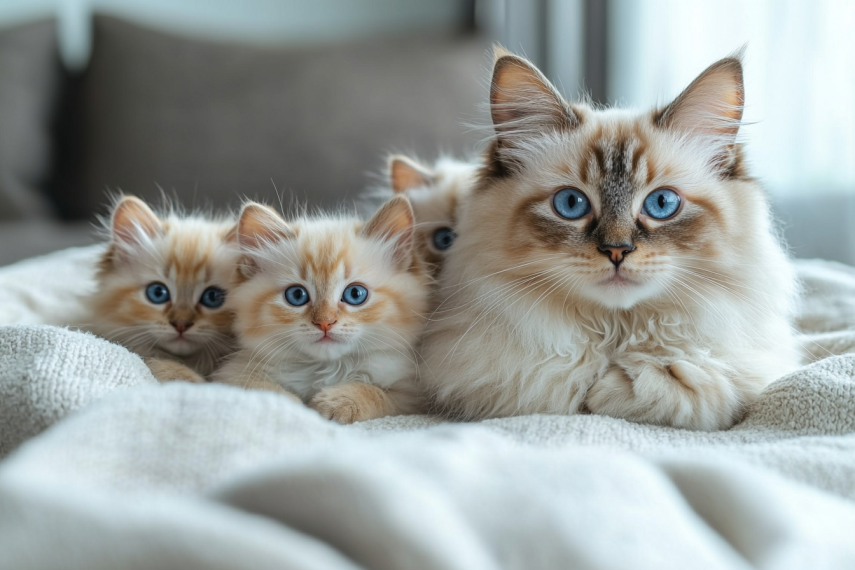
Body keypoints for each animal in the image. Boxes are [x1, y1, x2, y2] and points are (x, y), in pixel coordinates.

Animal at [211, 195, 432, 422]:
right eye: (296, 295)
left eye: (355, 294)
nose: (325, 322)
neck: (328, 369)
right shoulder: (235, 373)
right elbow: (264, 391)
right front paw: (293, 408)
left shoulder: (411, 394)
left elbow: (375, 392)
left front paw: (337, 402)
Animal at [422, 48, 804, 428]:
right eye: (571, 204)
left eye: (661, 203)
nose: (617, 250)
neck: (614, 333)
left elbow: (688, 383)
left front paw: (612, 391)